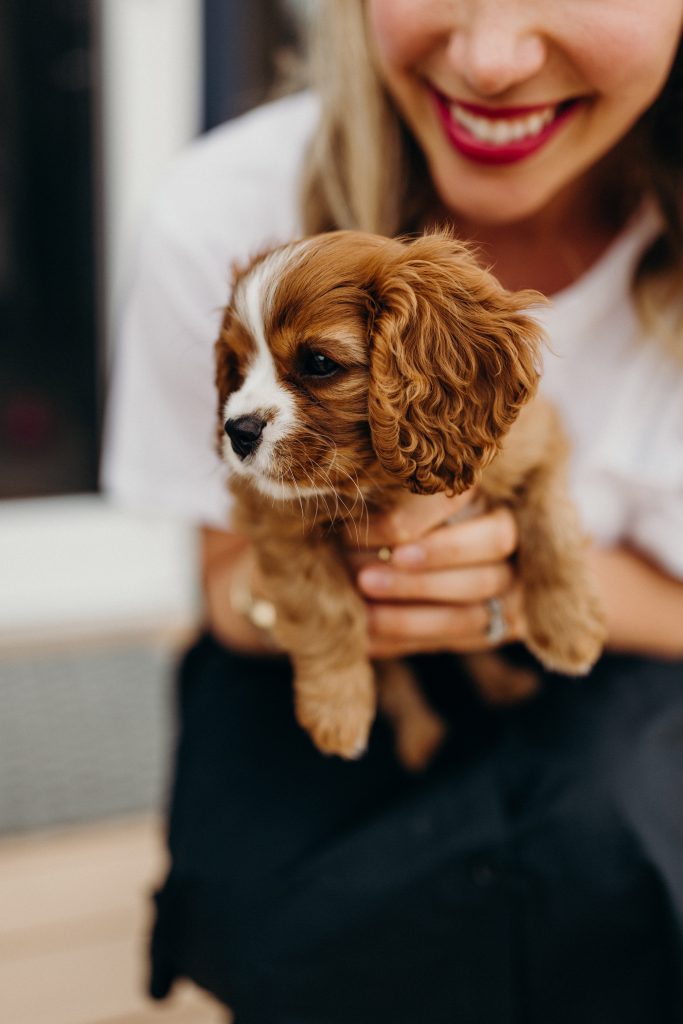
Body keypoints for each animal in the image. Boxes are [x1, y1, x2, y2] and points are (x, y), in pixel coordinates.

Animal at [215, 230, 610, 770]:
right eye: (236, 367)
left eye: (319, 363)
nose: (237, 431)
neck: (386, 484)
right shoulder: (279, 524)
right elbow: (326, 610)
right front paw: (338, 711)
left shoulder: (539, 445)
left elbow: (552, 529)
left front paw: (570, 631)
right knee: (397, 677)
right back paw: (421, 736)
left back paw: (502, 683)